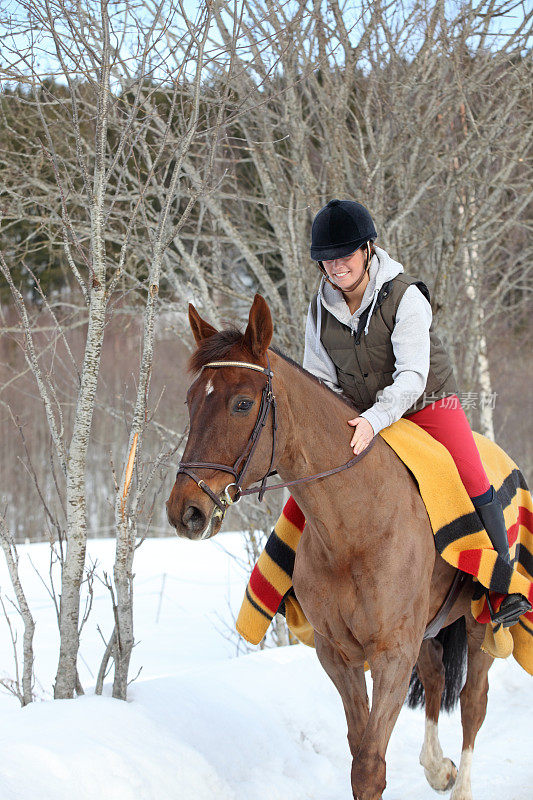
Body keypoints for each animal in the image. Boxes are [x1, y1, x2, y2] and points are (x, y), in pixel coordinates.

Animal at [165, 296, 490, 800]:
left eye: (242, 403)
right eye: (191, 400)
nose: (187, 511)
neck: (355, 527)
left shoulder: (391, 653)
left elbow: (370, 765)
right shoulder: (339, 654)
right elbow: (359, 753)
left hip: (480, 624)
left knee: (473, 701)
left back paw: (462, 785)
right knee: (437, 677)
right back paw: (438, 768)